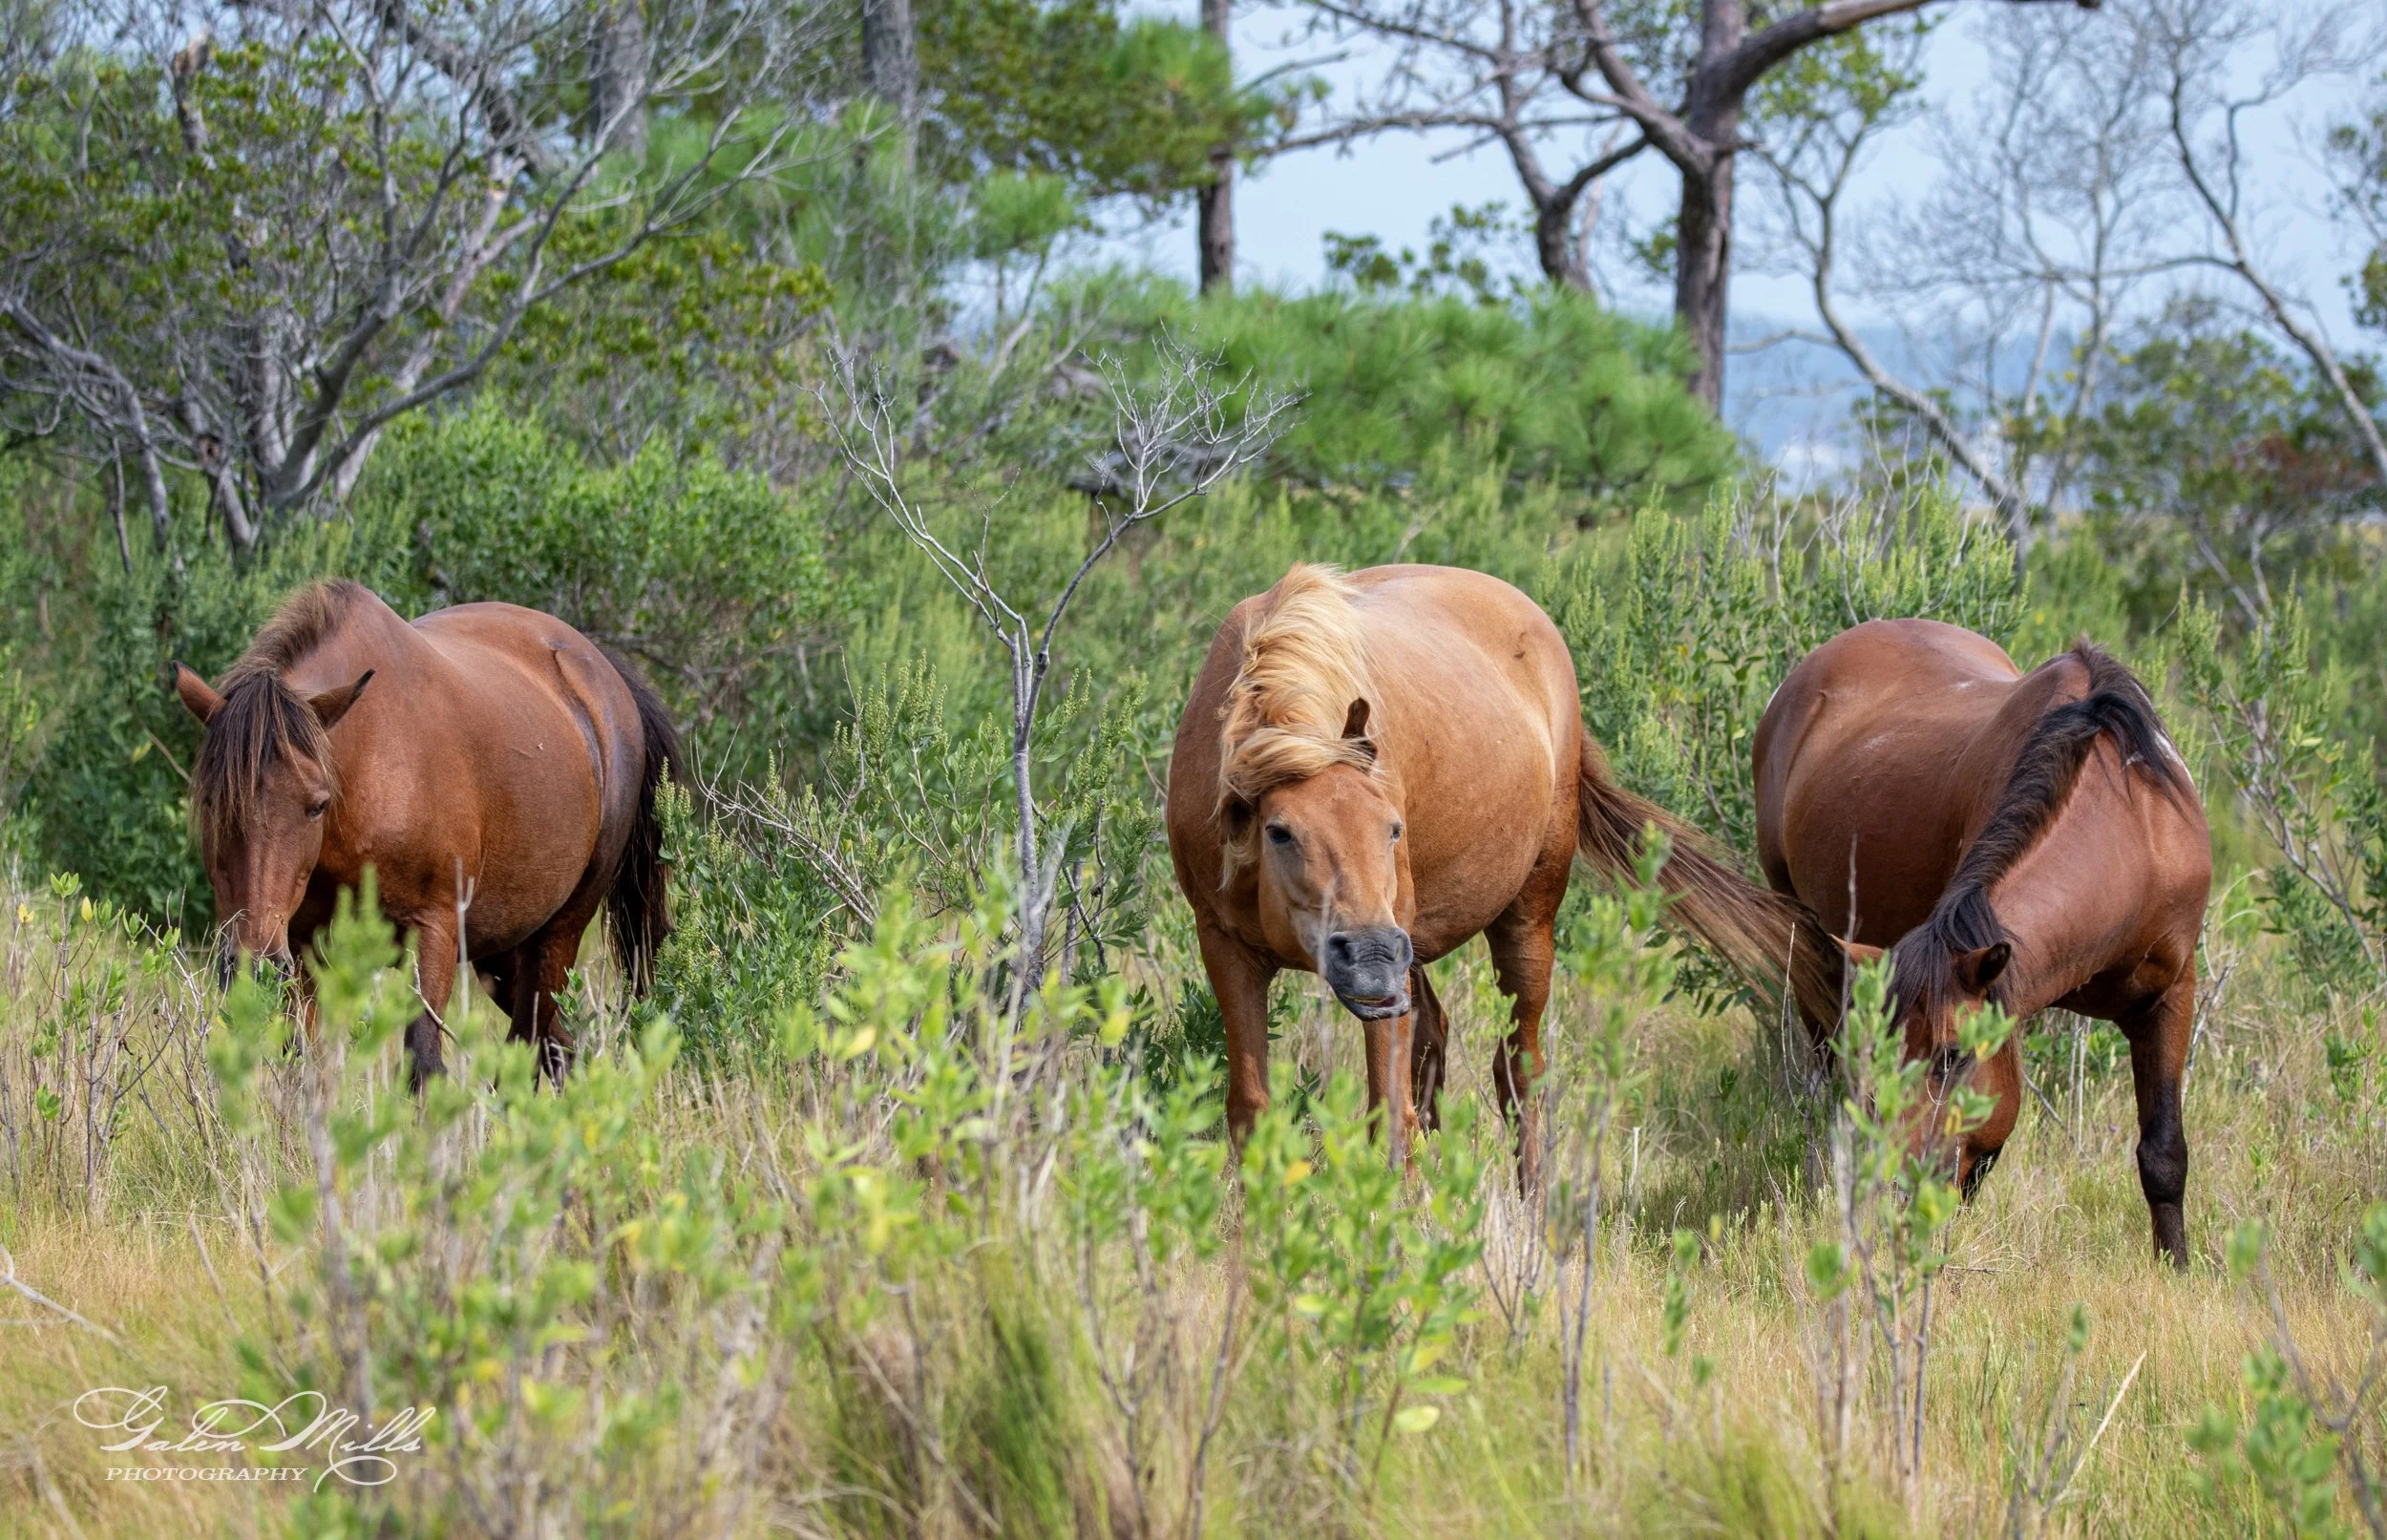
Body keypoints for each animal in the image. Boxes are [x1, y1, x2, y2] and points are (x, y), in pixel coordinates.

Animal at [173, 580, 683, 1086]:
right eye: (212, 802)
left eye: (316, 805)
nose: (252, 963)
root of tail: (602, 674)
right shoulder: (299, 946)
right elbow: (305, 1067)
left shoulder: (433, 931)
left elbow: (423, 1063)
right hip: (503, 949)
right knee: (558, 1047)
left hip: (560, 931)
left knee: (528, 1046)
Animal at [1166, 563, 1842, 1179]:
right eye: (1279, 831)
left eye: (1393, 828)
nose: (1372, 956)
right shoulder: (1225, 948)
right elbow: (1252, 1112)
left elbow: (1390, 1118)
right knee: (1435, 1046)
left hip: (1522, 920)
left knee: (1519, 1072)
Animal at [1753, 619, 2209, 1267]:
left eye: (1952, 1055)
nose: (1897, 1185)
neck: (2132, 834)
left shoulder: (2170, 993)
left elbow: (2163, 1153)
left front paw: (2177, 1269)